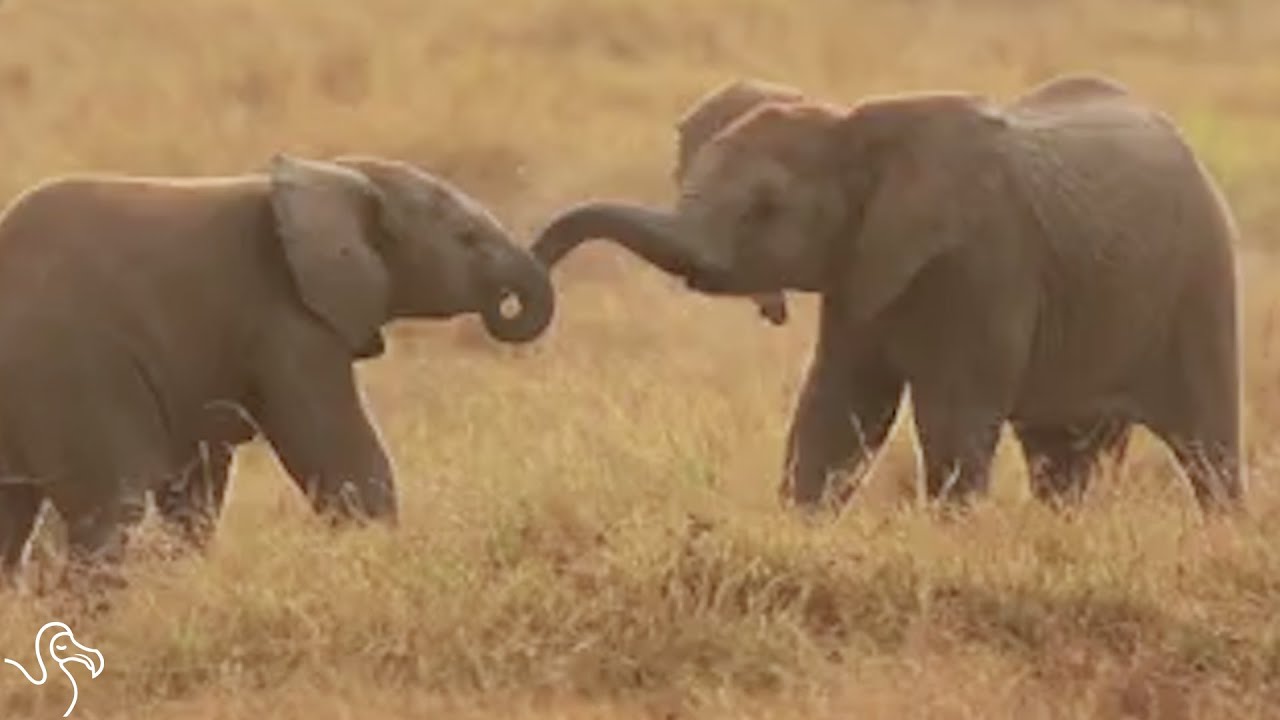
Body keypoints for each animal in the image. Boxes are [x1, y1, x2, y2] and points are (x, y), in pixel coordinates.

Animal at [0, 153, 555, 585]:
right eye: (467, 237)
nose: (506, 301)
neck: (337, 174)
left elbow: (197, 490)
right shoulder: (287, 322)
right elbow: (342, 459)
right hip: (67, 371)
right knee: (111, 512)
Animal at [530, 73, 1240, 513]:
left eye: (765, 208)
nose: (531, 273)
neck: (851, 126)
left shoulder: (986, 264)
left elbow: (951, 421)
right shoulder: (859, 269)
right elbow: (838, 409)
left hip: (1202, 280)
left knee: (1209, 447)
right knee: (1059, 458)